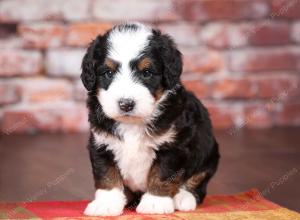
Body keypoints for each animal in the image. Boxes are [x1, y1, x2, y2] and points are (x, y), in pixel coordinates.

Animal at [81, 22, 219, 217]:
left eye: (146, 73)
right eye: (108, 73)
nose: (126, 104)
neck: (132, 123)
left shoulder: (173, 144)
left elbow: (162, 174)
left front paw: (156, 203)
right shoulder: (102, 143)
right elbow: (106, 174)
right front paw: (106, 204)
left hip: (208, 153)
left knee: (197, 181)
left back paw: (183, 198)